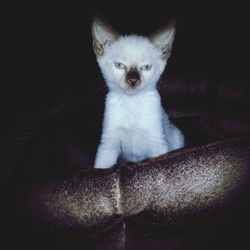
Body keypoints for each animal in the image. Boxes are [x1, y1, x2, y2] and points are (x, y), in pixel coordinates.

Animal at [92, 16, 184, 169]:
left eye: (146, 67)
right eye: (119, 65)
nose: (133, 80)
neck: (132, 103)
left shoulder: (157, 144)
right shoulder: (109, 143)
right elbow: (102, 167)